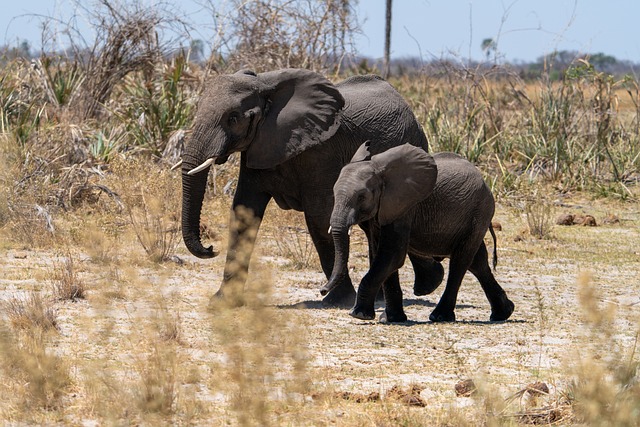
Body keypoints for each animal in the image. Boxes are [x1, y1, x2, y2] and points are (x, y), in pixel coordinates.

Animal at [178, 68, 442, 306]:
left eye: (233, 118)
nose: (211, 248)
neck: (264, 84)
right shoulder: (259, 146)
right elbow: (244, 211)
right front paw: (222, 303)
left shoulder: (321, 151)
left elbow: (318, 218)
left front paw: (338, 300)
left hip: (414, 145)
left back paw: (427, 284)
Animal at [320, 143, 516, 320]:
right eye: (334, 193)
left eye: (362, 196)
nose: (322, 290)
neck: (380, 170)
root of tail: (484, 181)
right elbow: (381, 255)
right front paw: (391, 319)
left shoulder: (405, 207)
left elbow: (392, 255)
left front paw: (359, 315)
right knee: (477, 262)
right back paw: (503, 313)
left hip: (480, 210)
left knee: (460, 262)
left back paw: (440, 316)